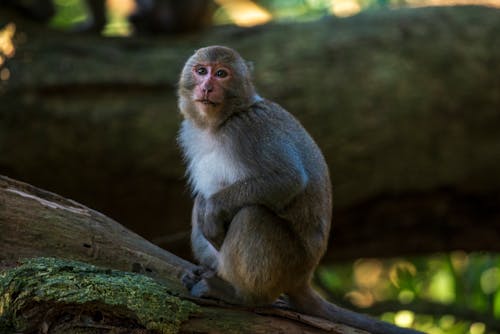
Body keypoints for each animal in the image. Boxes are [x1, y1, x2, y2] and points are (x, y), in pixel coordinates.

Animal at [178, 46, 420, 334]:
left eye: (221, 74)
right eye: (201, 70)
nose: (206, 86)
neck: (222, 121)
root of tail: (303, 278)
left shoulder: (251, 129)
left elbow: (288, 179)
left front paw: (213, 211)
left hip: (288, 263)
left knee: (252, 215)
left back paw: (243, 295)